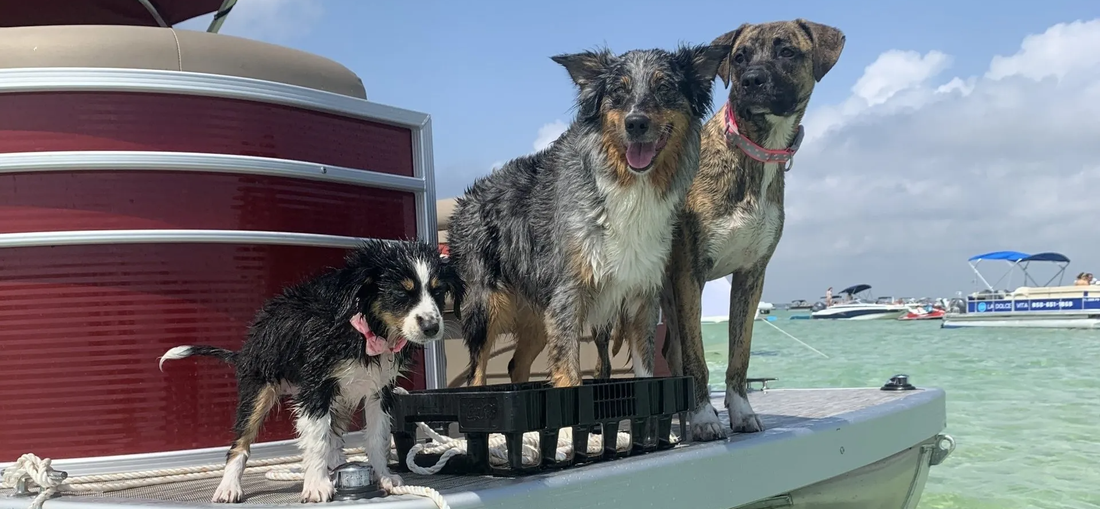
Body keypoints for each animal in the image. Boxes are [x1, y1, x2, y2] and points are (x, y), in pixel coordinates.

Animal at [157, 240, 462, 503]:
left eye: (438, 292)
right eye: (401, 293)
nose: (432, 327)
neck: (365, 330)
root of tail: (247, 349)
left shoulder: (379, 390)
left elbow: (377, 438)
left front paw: (383, 477)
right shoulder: (316, 387)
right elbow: (316, 439)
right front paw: (316, 486)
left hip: (342, 397)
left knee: (335, 434)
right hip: (259, 391)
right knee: (240, 443)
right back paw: (229, 487)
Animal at [655, 20, 844, 441]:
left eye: (787, 51)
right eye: (739, 57)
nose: (751, 80)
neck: (756, 150)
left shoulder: (750, 276)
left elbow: (739, 355)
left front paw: (741, 411)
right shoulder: (689, 275)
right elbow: (696, 359)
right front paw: (704, 418)